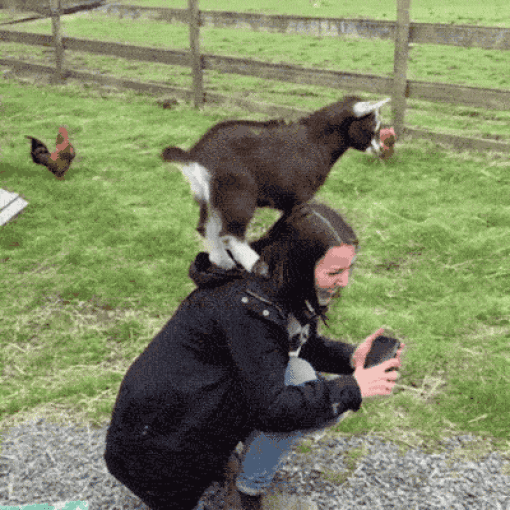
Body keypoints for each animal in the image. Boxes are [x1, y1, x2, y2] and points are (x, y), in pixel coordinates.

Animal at [162, 94, 390, 272]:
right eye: (373, 126)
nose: (380, 150)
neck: (315, 142)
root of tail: (195, 156)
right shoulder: (299, 197)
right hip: (238, 193)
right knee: (230, 234)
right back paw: (257, 266)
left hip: (211, 198)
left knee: (206, 228)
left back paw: (224, 263)